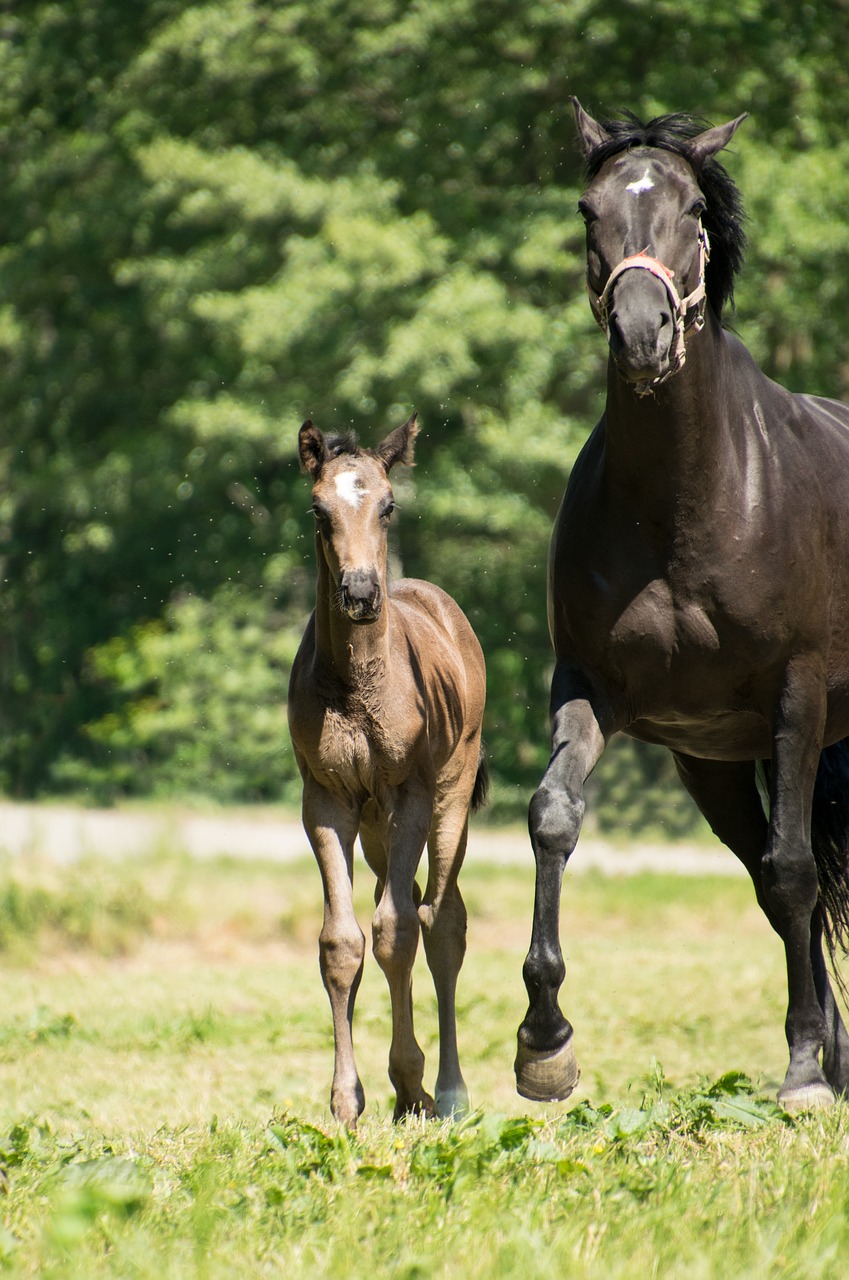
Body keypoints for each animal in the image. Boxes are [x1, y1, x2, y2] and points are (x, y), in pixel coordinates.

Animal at [289, 414, 489, 1126]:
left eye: (389, 505)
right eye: (318, 509)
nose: (358, 593)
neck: (355, 685)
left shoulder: (410, 795)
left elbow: (398, 932)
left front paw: (411, 1082)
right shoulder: (324, 801)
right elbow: (343, 942)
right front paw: (347, 1100)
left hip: (448, 801)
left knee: (441, 920)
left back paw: (449, 1091)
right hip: (374, 827)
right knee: (393, 905)